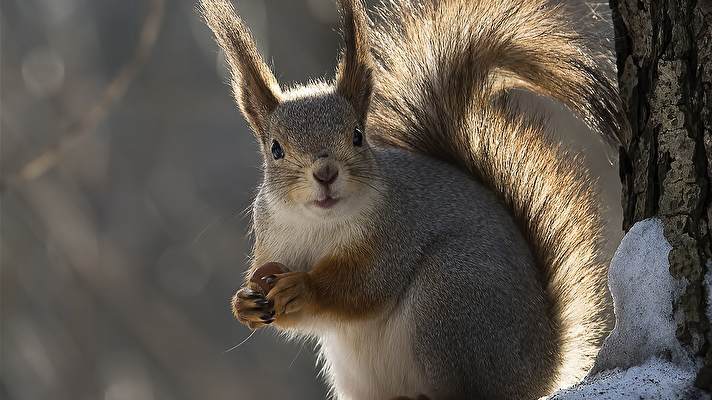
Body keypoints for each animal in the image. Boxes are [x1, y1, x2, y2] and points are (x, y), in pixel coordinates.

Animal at [200, 0, 624, 400]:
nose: (325, 173)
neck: (319, 225)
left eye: (357, 136)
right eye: (275, 149)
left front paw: (304, 288)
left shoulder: (395, 231)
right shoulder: (273, 241)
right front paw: (244, 303)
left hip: (451, 295)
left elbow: (366, 286)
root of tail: (542, 368)